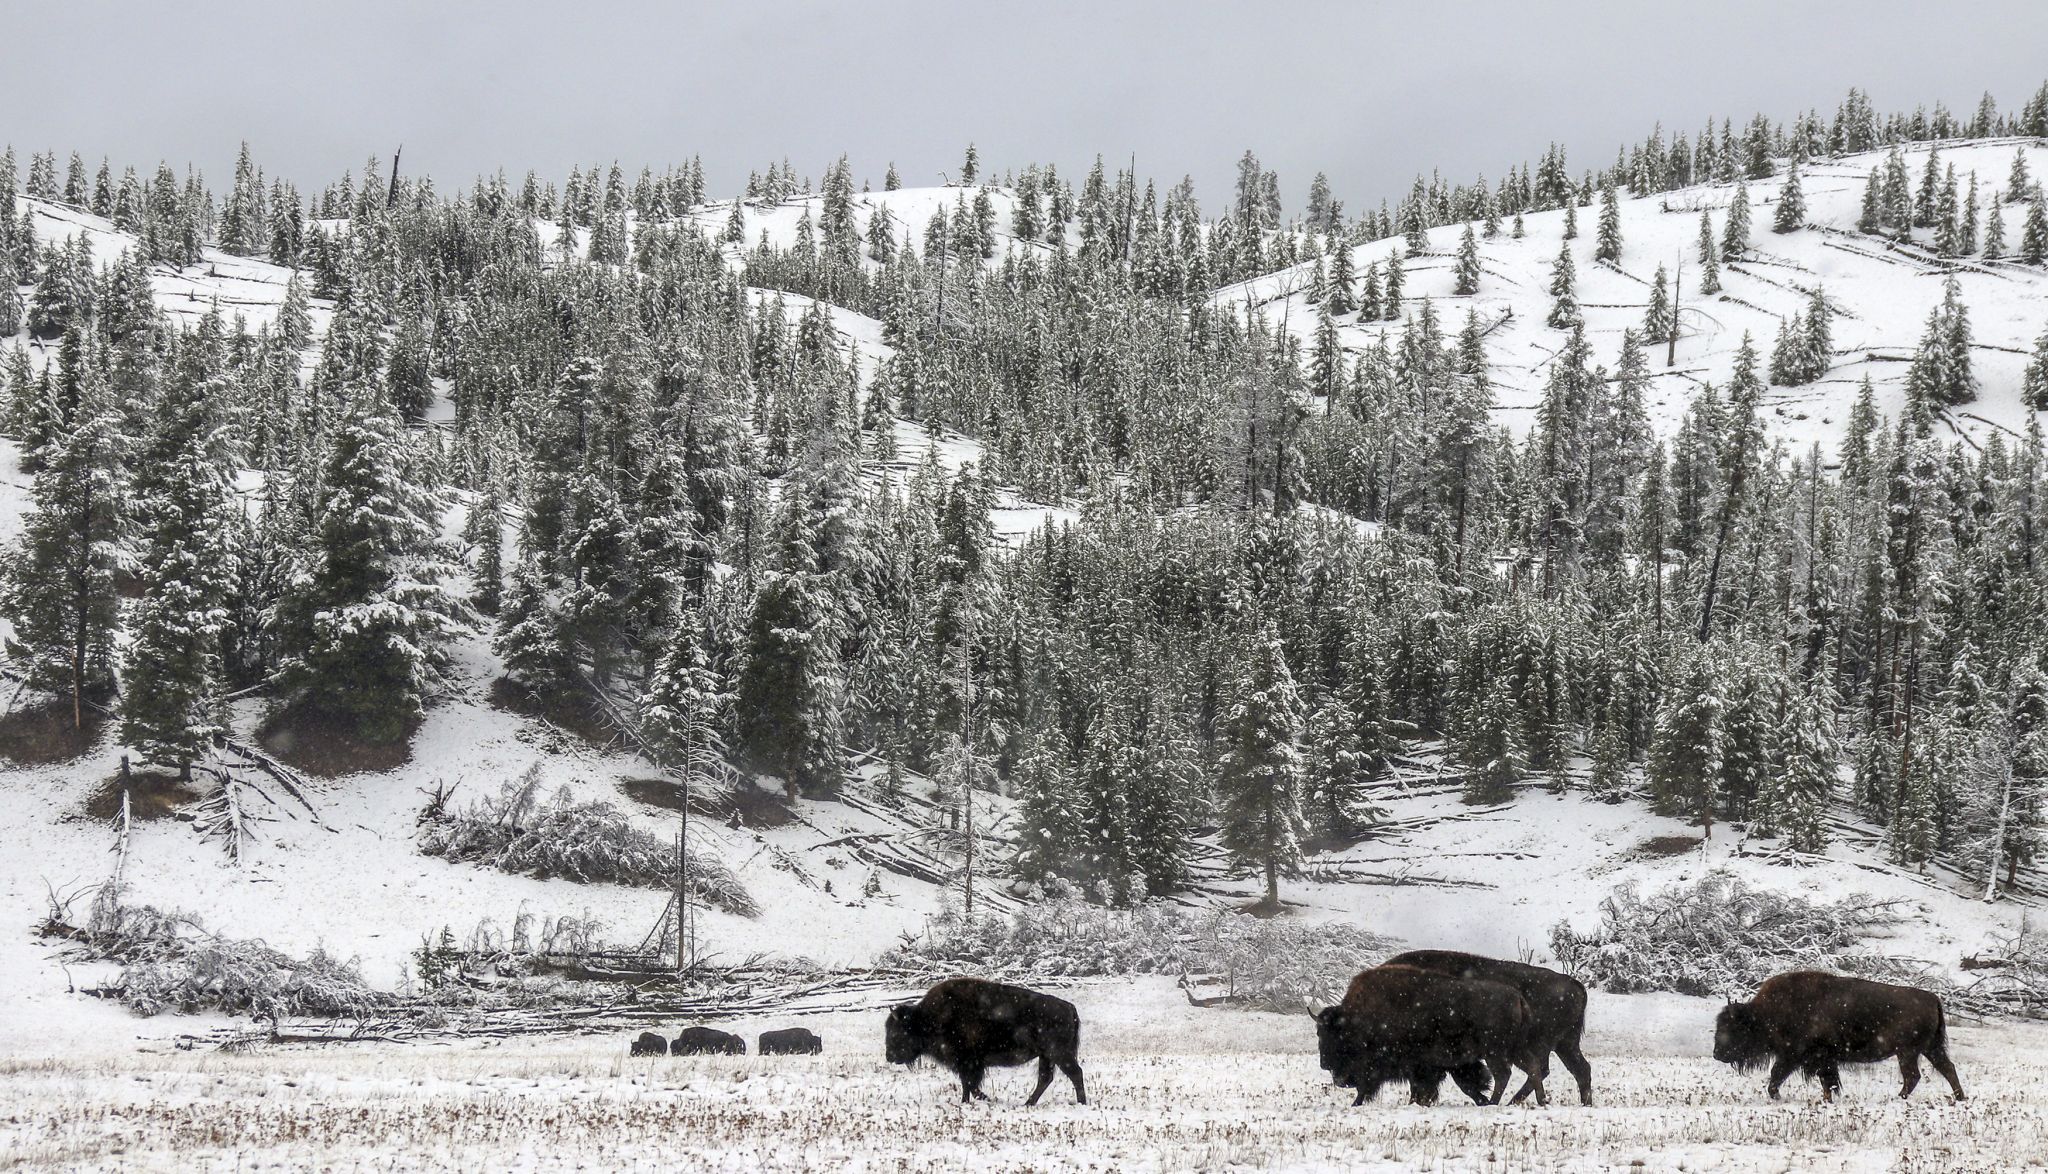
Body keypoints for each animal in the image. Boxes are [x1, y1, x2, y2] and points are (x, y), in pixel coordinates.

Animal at [885, 977, 1086, 1105]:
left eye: (896, 1032)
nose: (889, 1056)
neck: (925, 1019)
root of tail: (1069, 1007)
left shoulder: (968, 1062)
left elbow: (970, 1084)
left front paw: (982, 1099)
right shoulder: (967, 1064)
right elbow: (968, 1085)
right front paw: (971, 1101)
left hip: (1058, 1053)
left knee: (1075, 1073)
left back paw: (1081, 1102)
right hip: (1046, 1056)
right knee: (1045, 1078)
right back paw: (1028, 1103)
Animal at [1316, 965, 1550, 1106]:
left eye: (1337, 1038)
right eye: (1319, 1034)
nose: (1325, 1064)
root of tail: (1518, 997)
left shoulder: (1416, 1064)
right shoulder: (1446, 1065)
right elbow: (1464, 1084)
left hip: (1496, 1051)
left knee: (1504, 1074)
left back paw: (1495, 1102)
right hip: (1514, 1049)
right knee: (1532, 1067)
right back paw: (1539, 1101)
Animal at [1386, 949, 1594, 1105]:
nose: (1420, 1100)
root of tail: (1574, 984)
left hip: (1544, 1043)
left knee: (1543, 1069)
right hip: (1565, 1044)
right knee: (1579, 1069)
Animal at [1714, 970, 1964, 1102]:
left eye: (1730, 1028)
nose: (1717, 1054)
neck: (1765, 1013)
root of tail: (1932, 999)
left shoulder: (1802, 1056)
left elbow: (1781, 1074)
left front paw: (1777, 1095)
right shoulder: (1814, 1059)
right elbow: (1826, 1080)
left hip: (1908, 1052)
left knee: (1913, 1075)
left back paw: (1897, 1097)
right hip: (1929, 1049)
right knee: (1947, 1068)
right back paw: (1959, 1097)